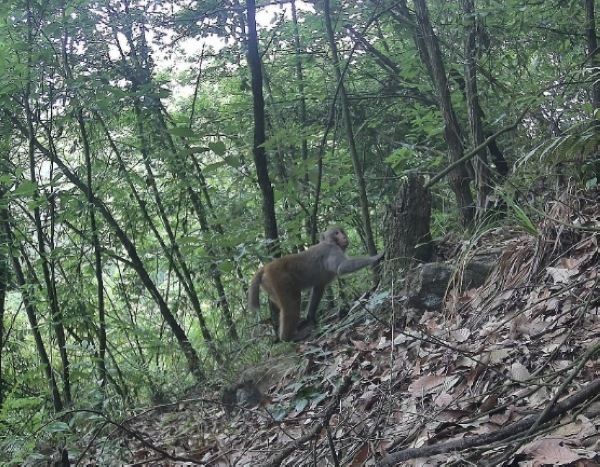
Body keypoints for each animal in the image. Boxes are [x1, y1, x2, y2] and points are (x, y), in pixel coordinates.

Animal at [248, 228, 384, 342]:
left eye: (341, 231)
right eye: (336, 233)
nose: (344, 236)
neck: (329, 243)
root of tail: (265, 268)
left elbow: (318, 288)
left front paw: (310, 317)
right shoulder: (331, 251)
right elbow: (341, 268)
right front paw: (376, 257)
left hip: (270, 287)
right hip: (278, 279)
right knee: (292, 303)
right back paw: (288, 337)